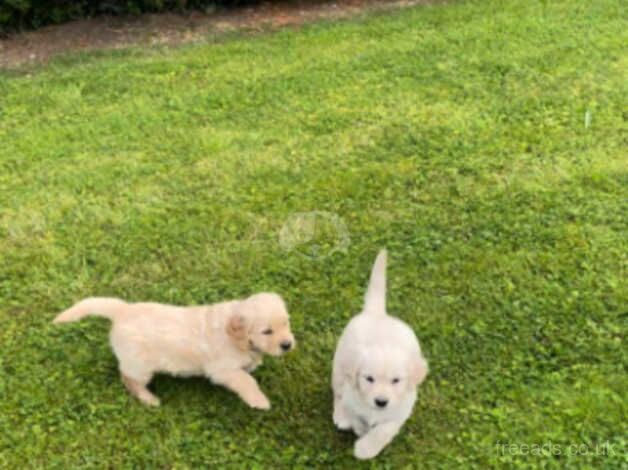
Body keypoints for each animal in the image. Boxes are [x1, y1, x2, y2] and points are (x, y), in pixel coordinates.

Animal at [53, 292, 294, 410]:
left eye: (286, 323)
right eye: (267, 331)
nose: (287, 345)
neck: (236, 336)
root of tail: (123, 310)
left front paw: (253, 364)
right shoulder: (222, 370)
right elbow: (246, 381)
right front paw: (259, 401)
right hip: (140, 364)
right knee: (128, 379)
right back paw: (148, 399)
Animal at [332, 252, 430, 460]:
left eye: (396, 380)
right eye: (369, 379)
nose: (381, 402)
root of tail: (377, 313)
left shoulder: (399, 412)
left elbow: (382, 431)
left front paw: (365, 448)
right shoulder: (352, 394)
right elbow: (354, 413)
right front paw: (359, 428)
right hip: (338, 367)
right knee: (337, 392)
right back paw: (340, 416)